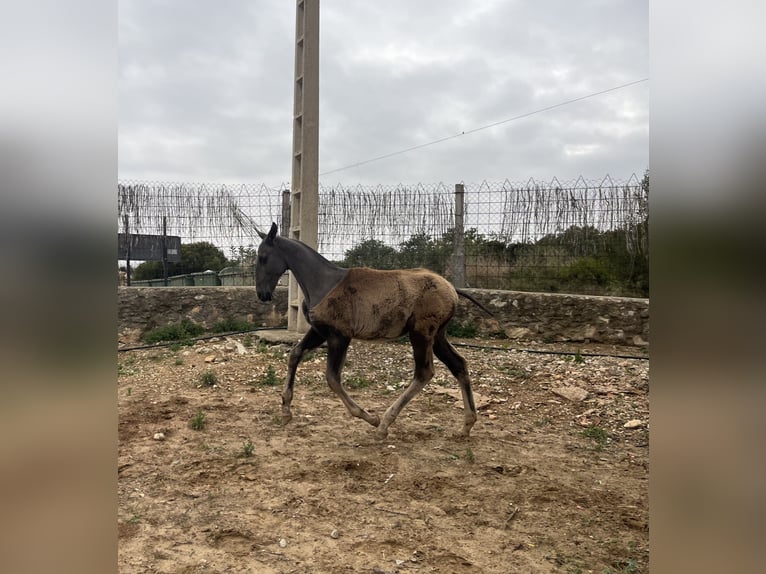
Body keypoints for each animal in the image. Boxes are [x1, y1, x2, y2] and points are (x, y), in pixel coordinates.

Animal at [254, 222, 492, 440]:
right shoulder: (319, 332)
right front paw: (285, 410)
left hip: (421, 333)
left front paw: (369, 417)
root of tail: (451, 288)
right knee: (458, 365)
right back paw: (467, 424)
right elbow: (294, 354)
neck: (323, 283)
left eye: (263, 257)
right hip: (438, 336)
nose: (262, 294)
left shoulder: (339, 336)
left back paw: (384, 424)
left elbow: (333, 378)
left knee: (424, 372)